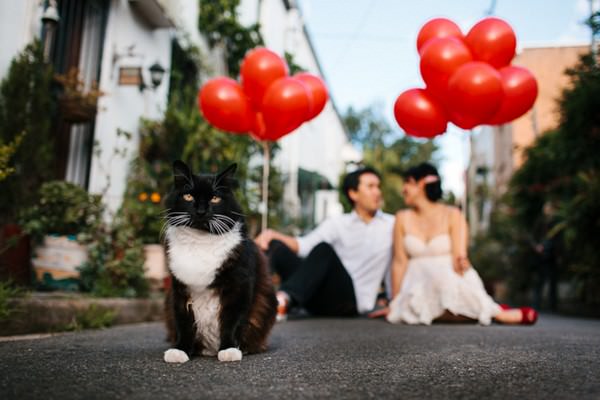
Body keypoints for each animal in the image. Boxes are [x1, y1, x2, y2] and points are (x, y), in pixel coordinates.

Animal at [163, 159, 278, 362]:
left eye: (215, 198)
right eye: (188, 196)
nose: (201, 211)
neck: (200, 241)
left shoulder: (239, 286)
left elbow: (232, 321)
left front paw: (229, 349)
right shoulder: (179, 290)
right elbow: (183, 324)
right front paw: (180, 350)